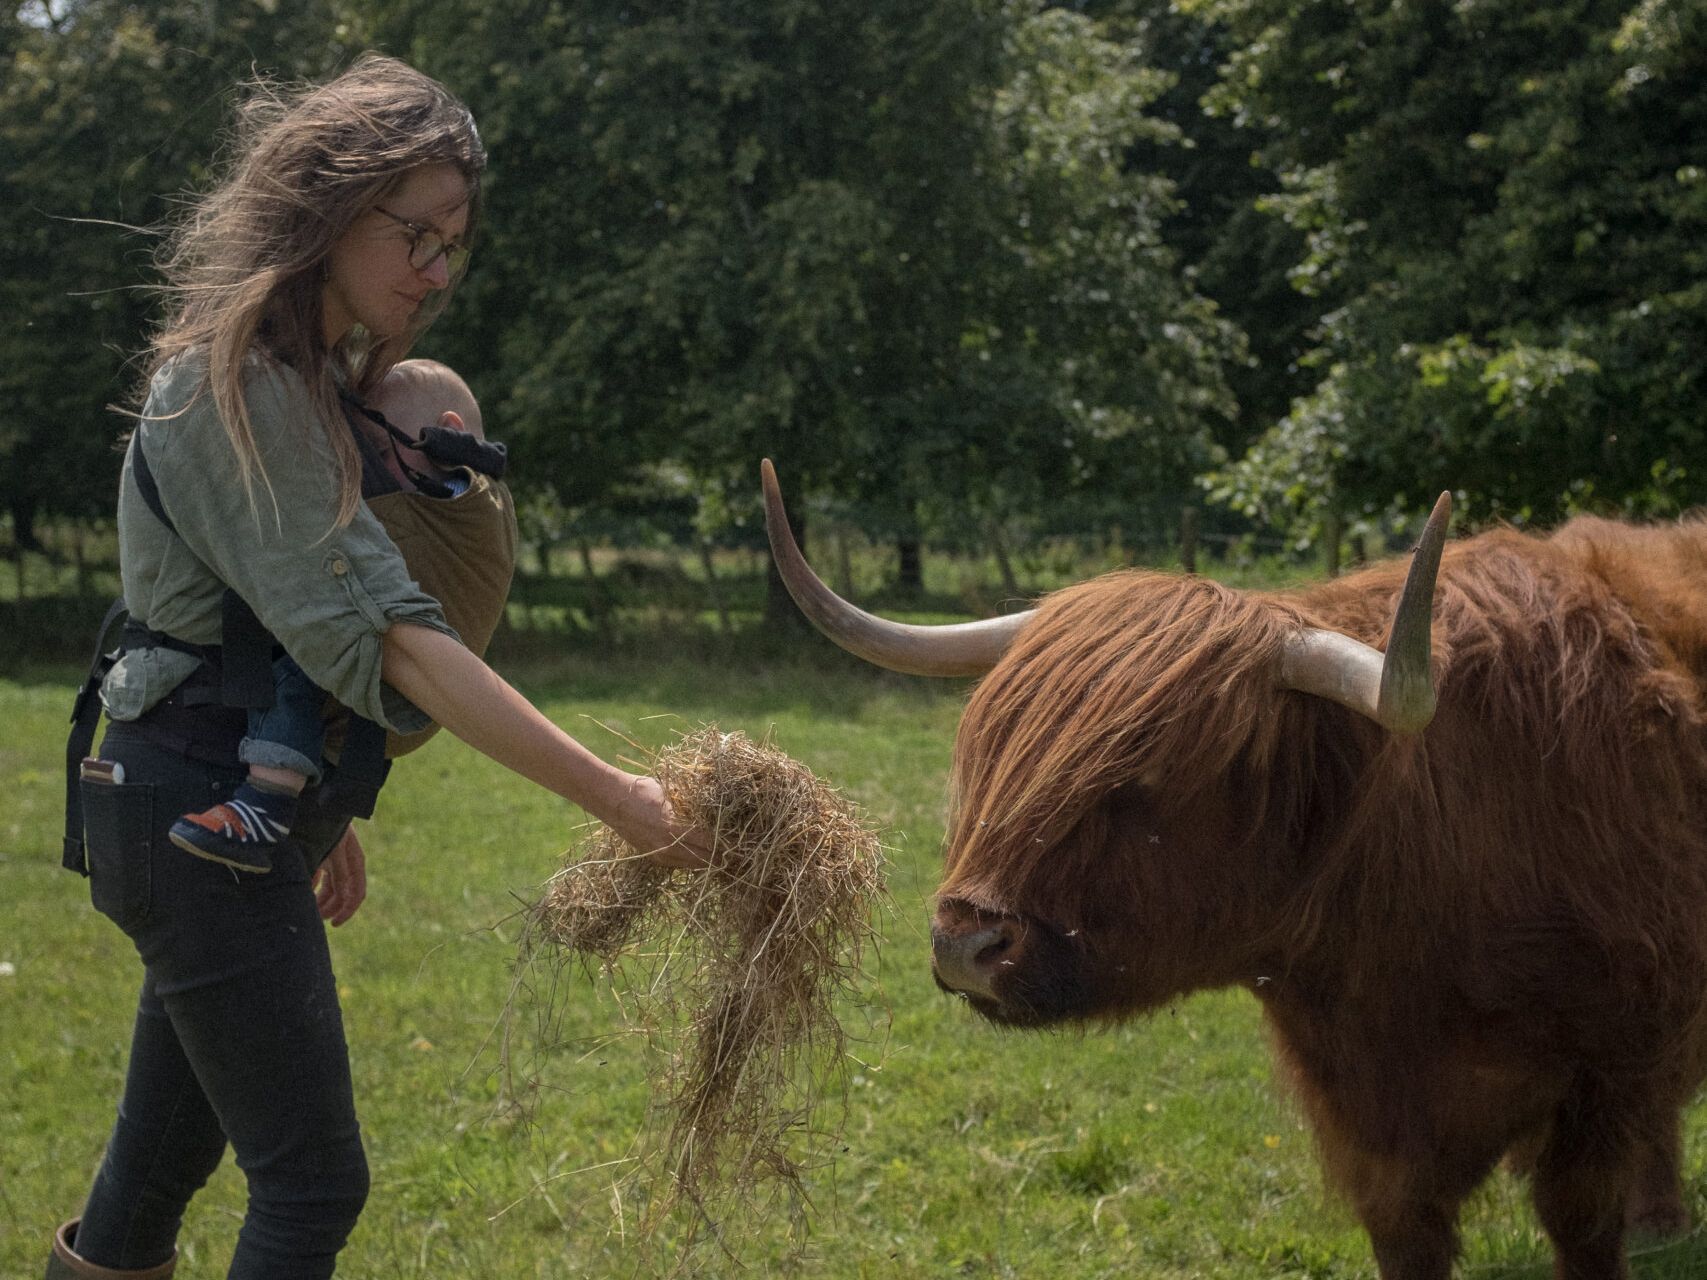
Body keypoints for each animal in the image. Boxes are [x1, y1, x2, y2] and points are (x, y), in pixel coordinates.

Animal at [759, 460, 1707, 1280]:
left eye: (1143, 784)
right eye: (993, 754)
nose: (965, 945)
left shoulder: (1608, 1076)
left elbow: (1583, 1221)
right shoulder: (1372, 1135)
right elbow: (1410, 1238)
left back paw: (1661, 1219)